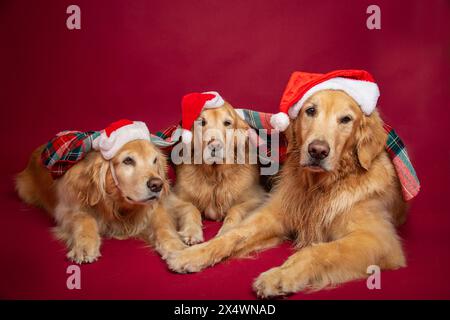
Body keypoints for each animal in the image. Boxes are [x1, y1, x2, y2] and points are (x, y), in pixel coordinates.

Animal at [169, 100, 268, 245]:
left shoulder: (258, 197)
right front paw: (192, 232)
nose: (215, 145)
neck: (215, 176)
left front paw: (226, 232)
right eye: (202, 122)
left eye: (227, 123)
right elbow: (190, 208)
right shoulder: (175, 196)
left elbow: (235, 209)